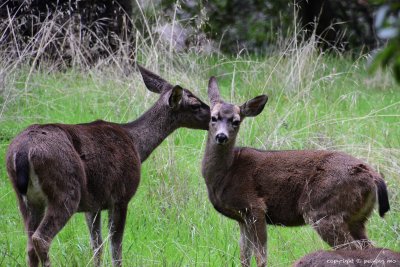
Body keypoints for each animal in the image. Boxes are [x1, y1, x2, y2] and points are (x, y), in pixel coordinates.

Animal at [6, 65, 211, 267]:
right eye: (195, 105)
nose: (214, 115)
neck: (136, 145)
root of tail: (21, 152)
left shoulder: (93, 204)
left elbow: (97, 246)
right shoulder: (121, 196)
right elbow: (116, 247)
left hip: (27, 199)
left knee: (30, 245)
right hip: (66, 191)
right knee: (41, 238)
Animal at [202, 76, 390, 266]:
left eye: (236, 121)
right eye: (213, 117)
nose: (221, 136)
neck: (226, 173)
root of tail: (373, 176)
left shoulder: (255, 207)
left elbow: (261, 257)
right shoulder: (242, 218)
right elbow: (244, 257)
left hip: (324, 211)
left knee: (352, 248)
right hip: (357, 218)